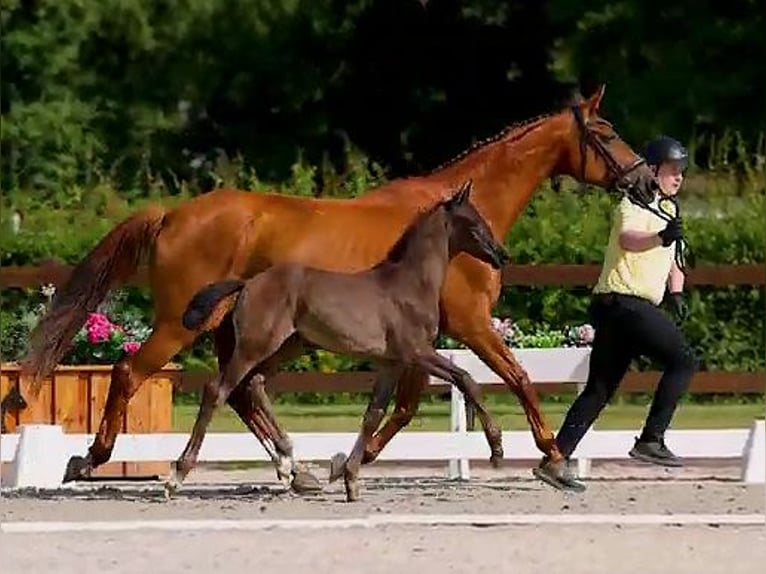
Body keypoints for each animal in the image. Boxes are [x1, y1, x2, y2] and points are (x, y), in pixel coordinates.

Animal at [169, 181, 509, 501]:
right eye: (475, 222)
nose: (501, 255)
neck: (410, 284)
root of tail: (247, 283)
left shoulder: (391, 363)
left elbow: (372, 415)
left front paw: (350, 480)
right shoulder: (417, 352)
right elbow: (466, 379)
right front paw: (496, 449)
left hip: (287, 347)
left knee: (254, 385)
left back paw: (287, 460)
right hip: (256, 346)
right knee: (218, 390)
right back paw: (178, 476)